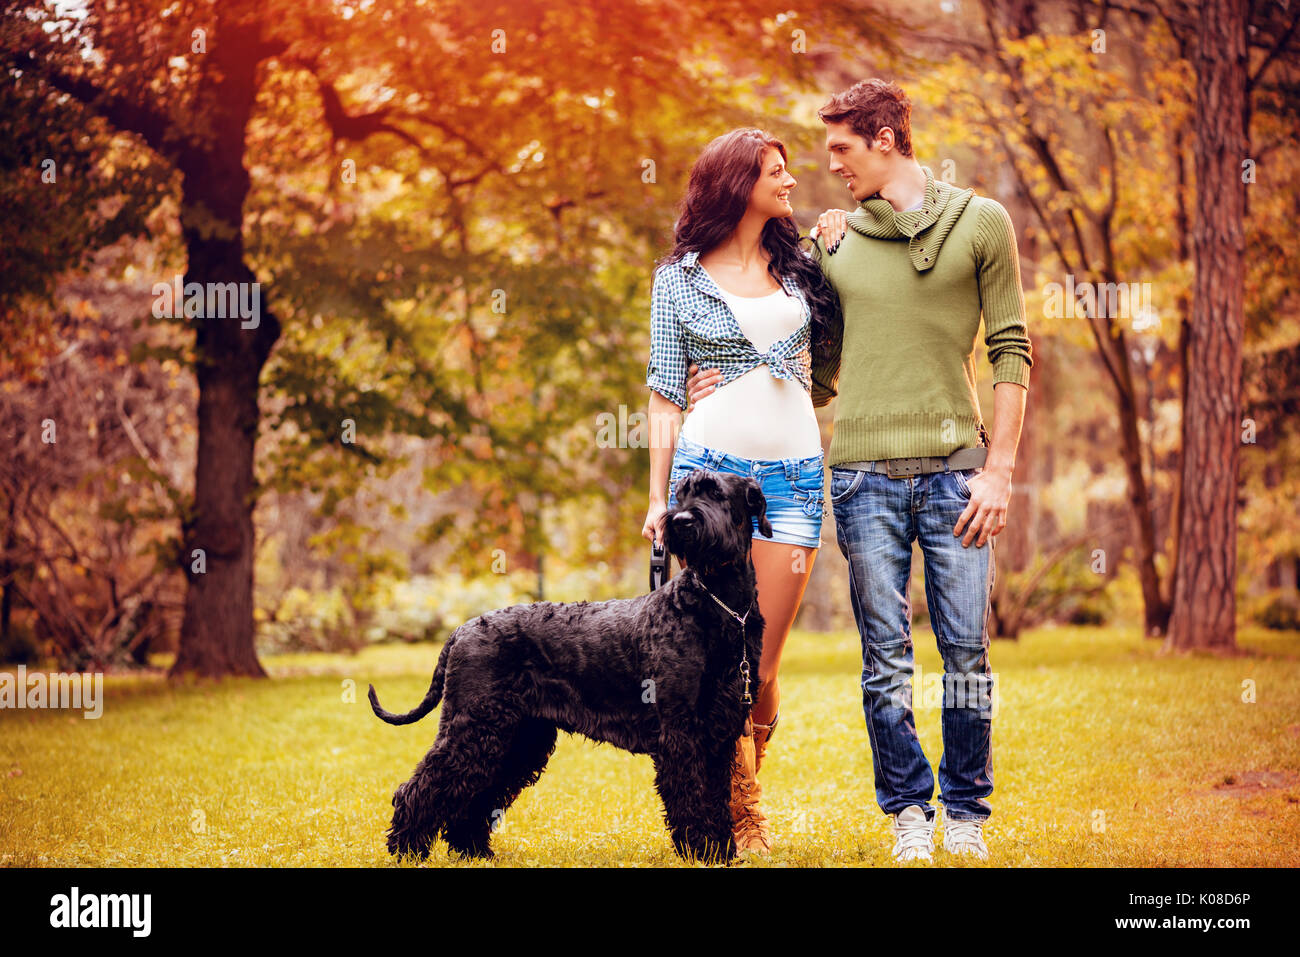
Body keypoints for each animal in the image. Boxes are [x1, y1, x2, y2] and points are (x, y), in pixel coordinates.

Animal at [369, 468, 769, 863]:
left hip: (513, 736)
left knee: (473, 793)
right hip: (475, 726)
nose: (682, 520)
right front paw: (704, 851)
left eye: (716, 493)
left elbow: (716, 797)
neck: (718, 603)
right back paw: (407, 849)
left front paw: (723, 850)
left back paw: (473, 850)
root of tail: (461, 629)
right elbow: (693, 795)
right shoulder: (682, 730)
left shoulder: (718, 731)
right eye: (681, 493)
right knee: (420, 786)